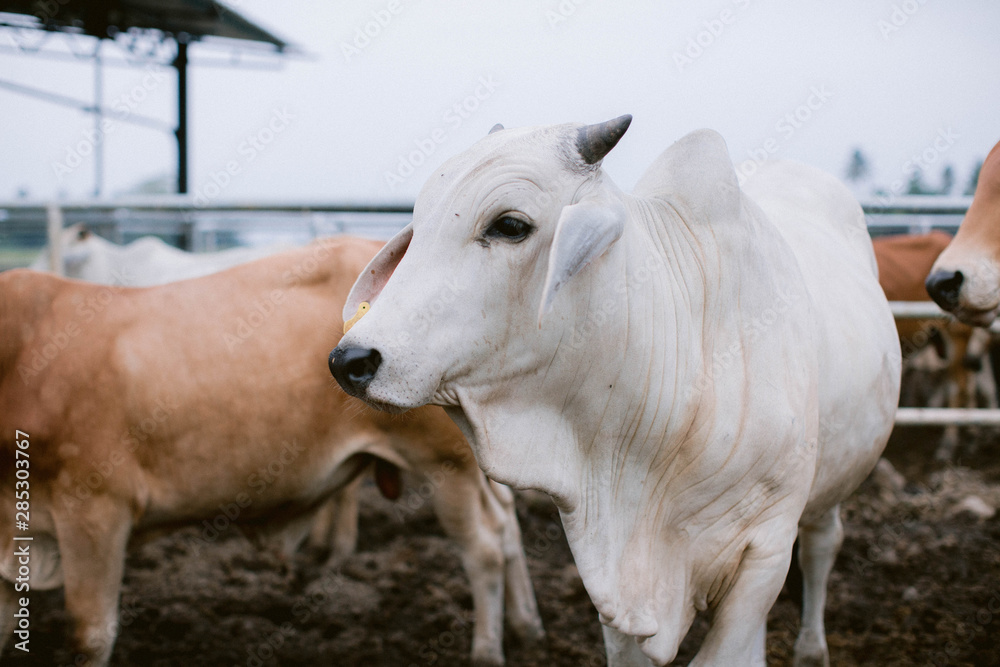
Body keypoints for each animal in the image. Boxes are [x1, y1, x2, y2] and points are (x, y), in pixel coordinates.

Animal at [0, 240, 544, 667]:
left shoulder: (95, 512)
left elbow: (89, 635)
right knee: (507, 525)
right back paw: (528, 626)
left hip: (445, 464)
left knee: (484, 548)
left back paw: (488, 650)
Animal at [328, 117, 900, 664]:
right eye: (419, 223)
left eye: (510, 225)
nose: (349, 360)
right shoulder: (606, 571)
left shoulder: (767, 549)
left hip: (830, 483)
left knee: (823, 546)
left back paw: (811, 648)